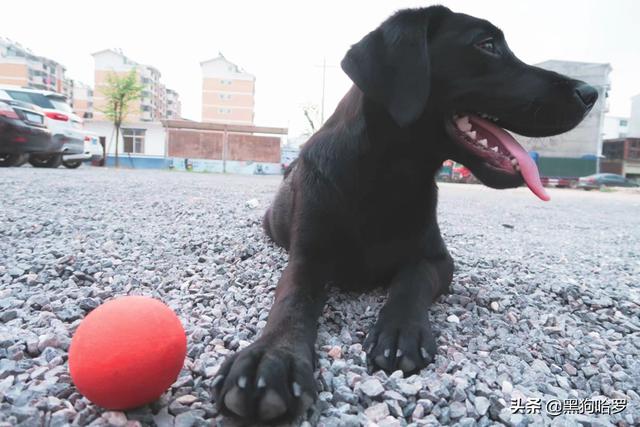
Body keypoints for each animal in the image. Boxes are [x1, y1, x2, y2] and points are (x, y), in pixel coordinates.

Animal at [212, 5, 596, 422]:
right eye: (487, 44)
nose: (591, 93)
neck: (385, 176)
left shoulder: (437, 259)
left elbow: (411, 280)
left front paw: (399, 332)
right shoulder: (307, 257)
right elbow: (292, 299)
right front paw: (271, 358)